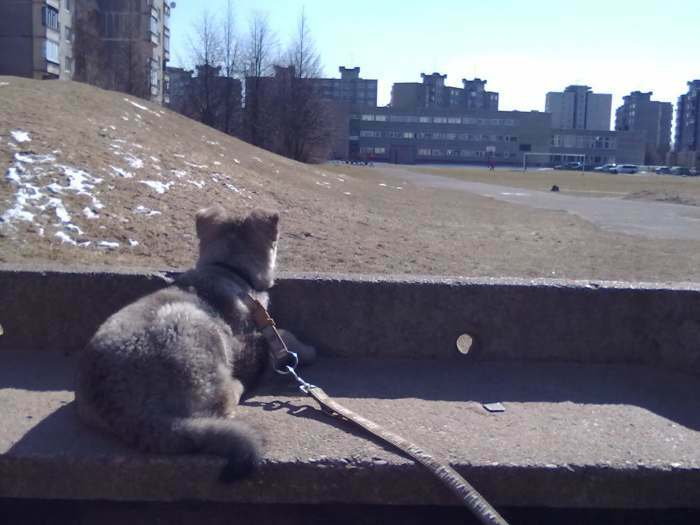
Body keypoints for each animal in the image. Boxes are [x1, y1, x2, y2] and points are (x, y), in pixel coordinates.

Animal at [75, 204, 314, 478]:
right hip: (197, 329)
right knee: (222, 403)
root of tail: (132, 414)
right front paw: (305, 351)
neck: (227, 270)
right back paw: (237, 386)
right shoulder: (251, 339)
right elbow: (283, 336)